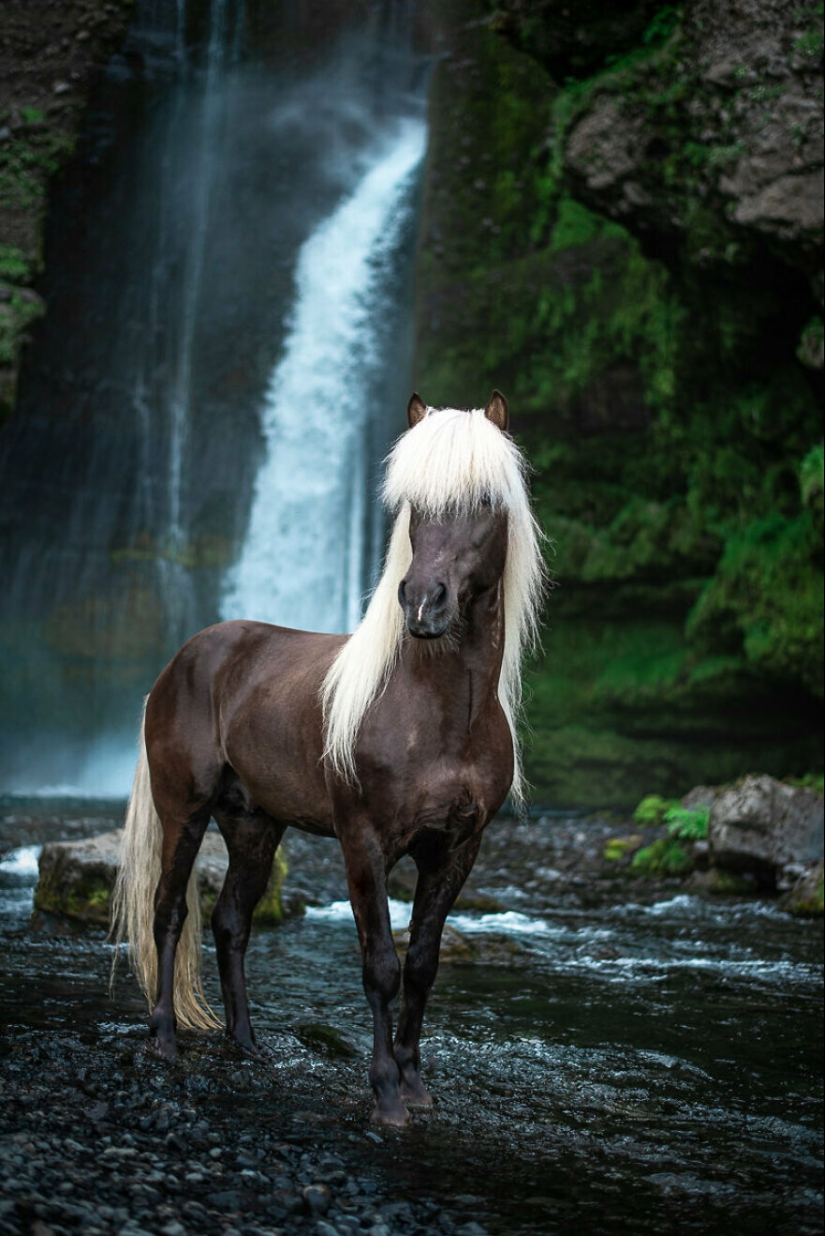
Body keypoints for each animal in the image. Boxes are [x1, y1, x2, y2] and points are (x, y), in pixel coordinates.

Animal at [111, 390, 544, 1126]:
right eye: (415, 504)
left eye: (485, 500)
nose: (421, 601)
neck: (441, 715)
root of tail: (184, 658)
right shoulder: (363, 842)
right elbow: (380, 966)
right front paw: (386, 1095)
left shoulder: (457, 849)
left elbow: (422, 964)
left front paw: (416, 1084)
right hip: (184, 812)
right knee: (168, 912)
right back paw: (164, 1039)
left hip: (254, 825)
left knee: (230, 923)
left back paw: (248, 1046)